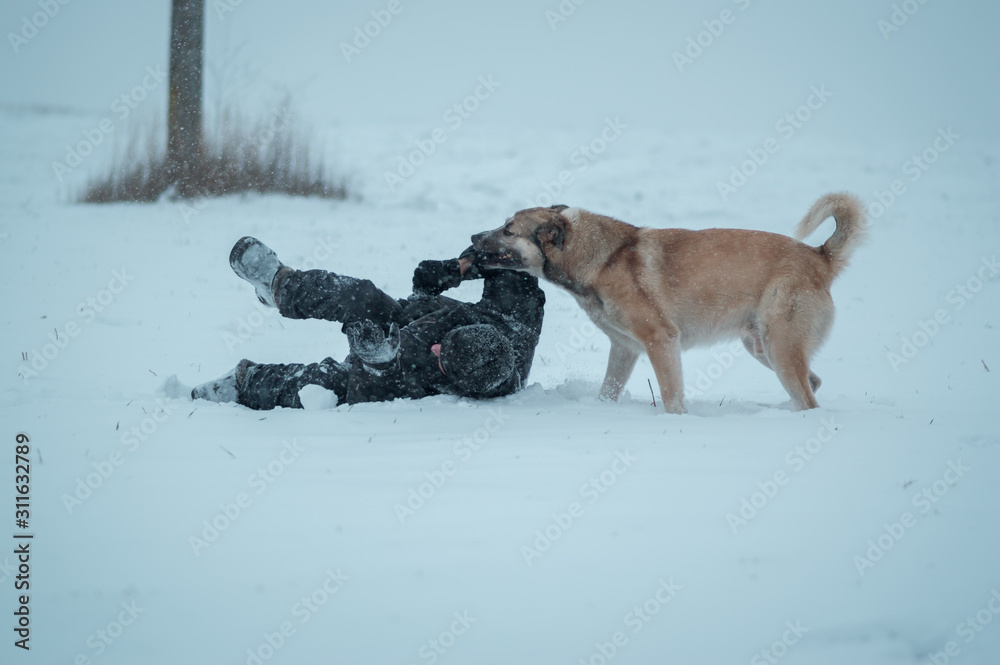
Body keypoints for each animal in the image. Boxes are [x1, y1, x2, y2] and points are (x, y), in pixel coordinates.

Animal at [470, 192, 868, 410]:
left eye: (508, 230)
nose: (473, 236)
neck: (603, 258)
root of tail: (820, 256)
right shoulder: (625, 348)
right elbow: (607, 392)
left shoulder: (661, 340)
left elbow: (671, 397)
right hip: (762, 346)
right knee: (813, 383)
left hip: (779, 347)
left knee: (809, 399)